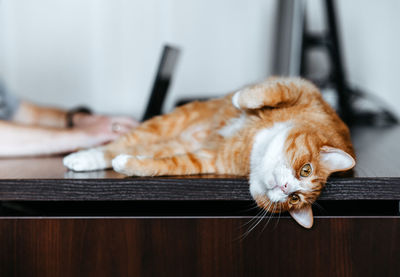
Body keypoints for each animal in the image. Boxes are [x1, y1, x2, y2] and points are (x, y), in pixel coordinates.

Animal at [64, 76, 354, 227]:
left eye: (295, 199)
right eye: (305, 170)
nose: (285, 188)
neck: (255, 144)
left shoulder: (206, 159)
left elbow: (163, 165)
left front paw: (126, 165)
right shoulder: (301, 89)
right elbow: (269, 92)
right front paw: (240, 99)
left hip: (172, 140)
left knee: (135, 147)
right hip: (169, 121)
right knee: (118, 143)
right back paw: (80, 157)